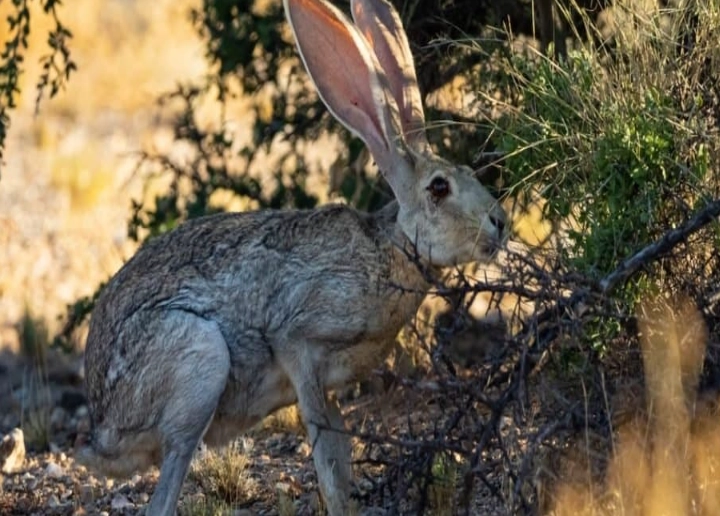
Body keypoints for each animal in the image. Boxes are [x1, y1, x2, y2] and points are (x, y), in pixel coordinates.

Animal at [75, 0, 508, 514]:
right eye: (439, 188)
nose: (500, 222)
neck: (389, 248)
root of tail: (101, 429)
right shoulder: (300, 345)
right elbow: (327, 460)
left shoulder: (332, 383)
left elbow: (340, 451)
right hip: (198, 365)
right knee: (164, 490)